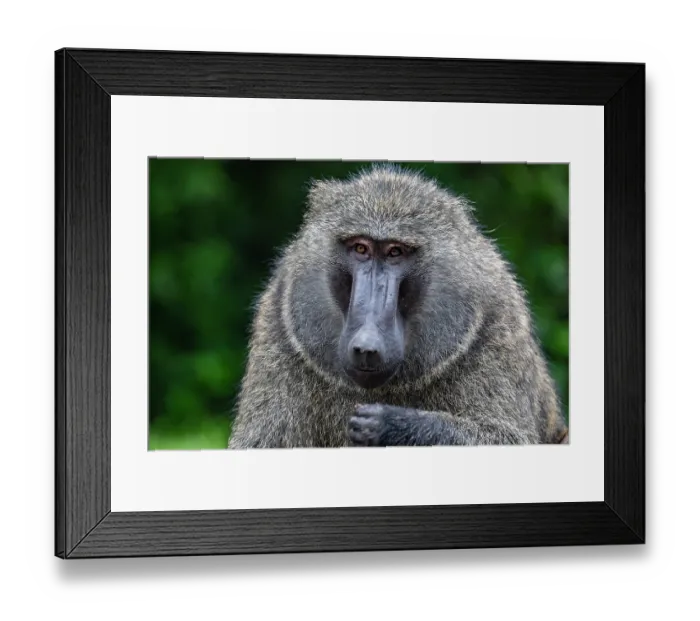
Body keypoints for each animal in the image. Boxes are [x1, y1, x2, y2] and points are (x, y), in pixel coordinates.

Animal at [228, 164, 569, 449]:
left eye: (395, 252)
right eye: (360, 249)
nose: (367, 347)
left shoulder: (496, 320)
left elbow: (504, 437)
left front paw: (390, 424)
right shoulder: (279, 321)